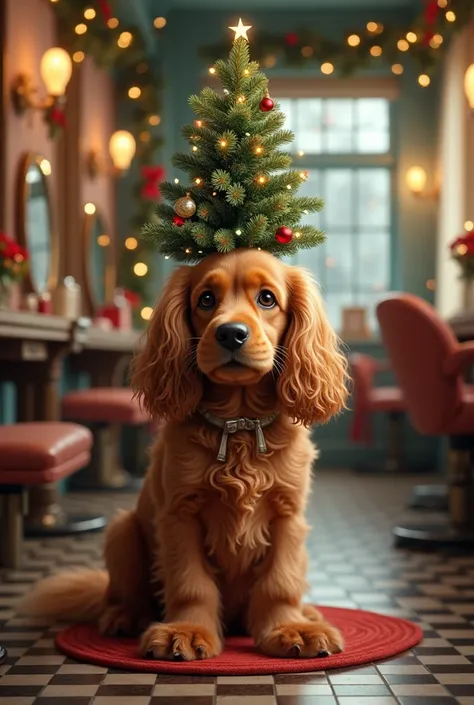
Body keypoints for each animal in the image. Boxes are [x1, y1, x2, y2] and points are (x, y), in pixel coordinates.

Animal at [22, 248, 348, 660]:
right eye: (206, 299)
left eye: (267, 299)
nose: (230, 333)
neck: (239, 424)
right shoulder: (180, 514)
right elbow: (191, 583)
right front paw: (188, 631)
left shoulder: (288, 515)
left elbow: (279, 582)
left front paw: (288, 628)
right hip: (122, 530)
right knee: (120, 594)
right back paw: (124, 616)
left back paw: (307, 614)